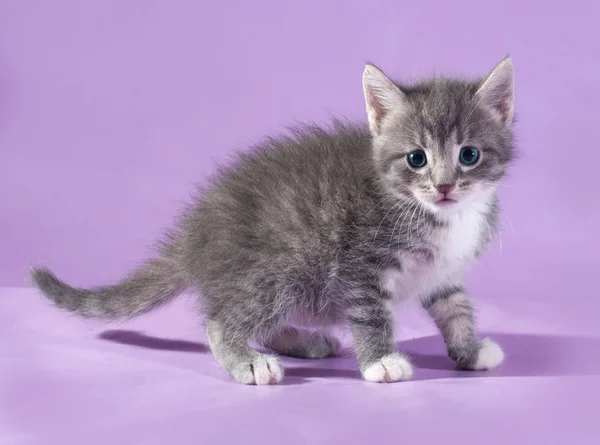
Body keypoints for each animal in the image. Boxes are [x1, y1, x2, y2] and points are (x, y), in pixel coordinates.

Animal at [29, 57, 516, 386]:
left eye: (469, 155)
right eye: (417, 159)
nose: (445, 186)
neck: (431, 213)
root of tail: (195, 235)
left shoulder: (444, 272)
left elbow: (455, 307)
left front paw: (470, 350)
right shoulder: (359, 263)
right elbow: (371, 312)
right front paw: (382, 361)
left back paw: (302, 340)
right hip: (285, 262)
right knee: (222, 319)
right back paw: (248, 359)